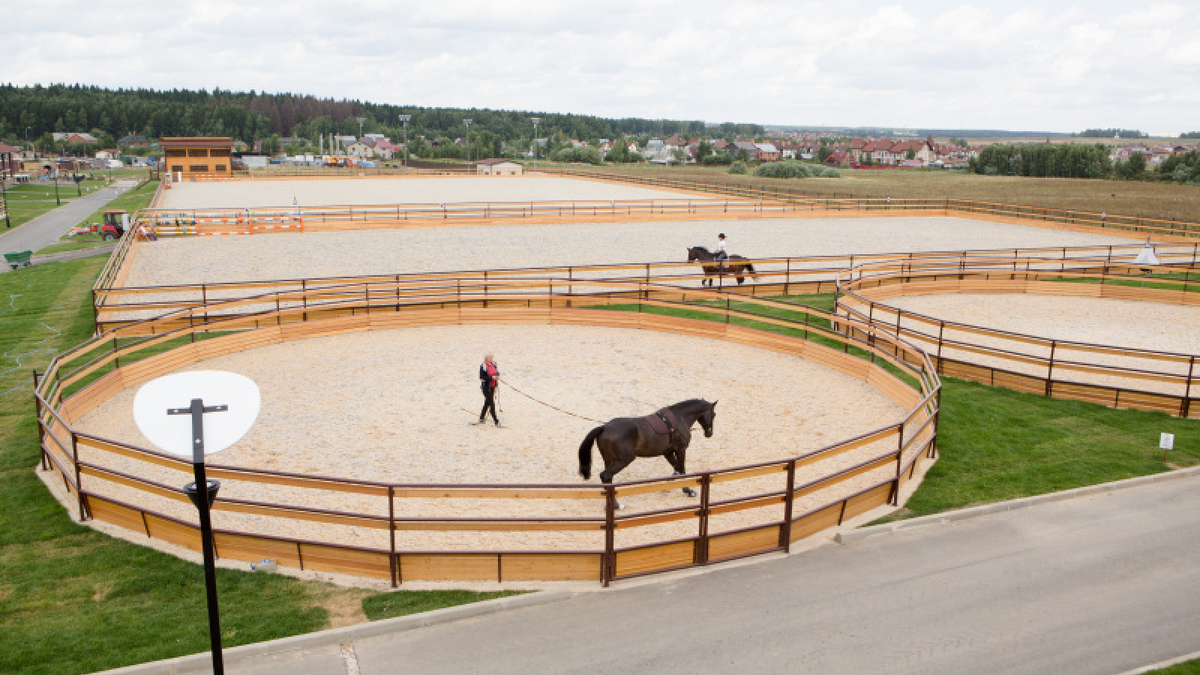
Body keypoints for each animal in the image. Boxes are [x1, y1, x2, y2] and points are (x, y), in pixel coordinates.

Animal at [578, 396, 715, 506]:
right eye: (713, 415)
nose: (709, 433)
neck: (679, 418)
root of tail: (604, 427)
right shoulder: (680, 450)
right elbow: (682, 471)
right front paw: (688, 490)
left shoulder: (668, 452)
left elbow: (677, 468)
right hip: (623, 460)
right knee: (605, 475)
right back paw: (616, 504)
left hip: (608, 459)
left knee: (608, 479)